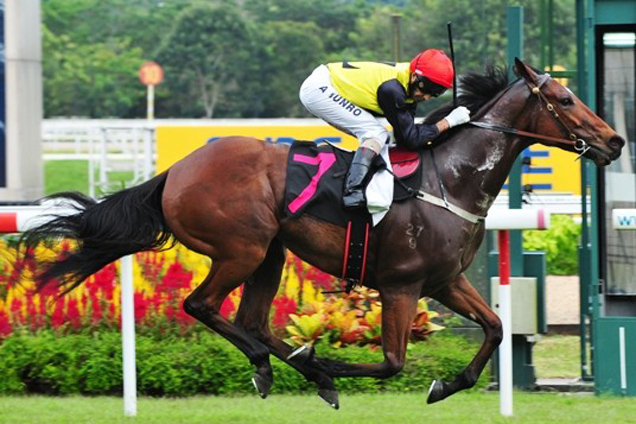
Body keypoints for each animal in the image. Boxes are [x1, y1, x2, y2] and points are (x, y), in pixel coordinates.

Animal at [17, 59, 624, 408]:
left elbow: (496, 328)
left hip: (270, 254)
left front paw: (443, 386)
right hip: (241, 248)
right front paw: (325, 363)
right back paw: (288, 367)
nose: (615, 142)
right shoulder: (402, 285)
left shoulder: (445, 282)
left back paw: (281, 366)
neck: (450, 178)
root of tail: (177, 171)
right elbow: (392, 363)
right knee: (201, 305)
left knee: (250, 320)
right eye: (564, 100)